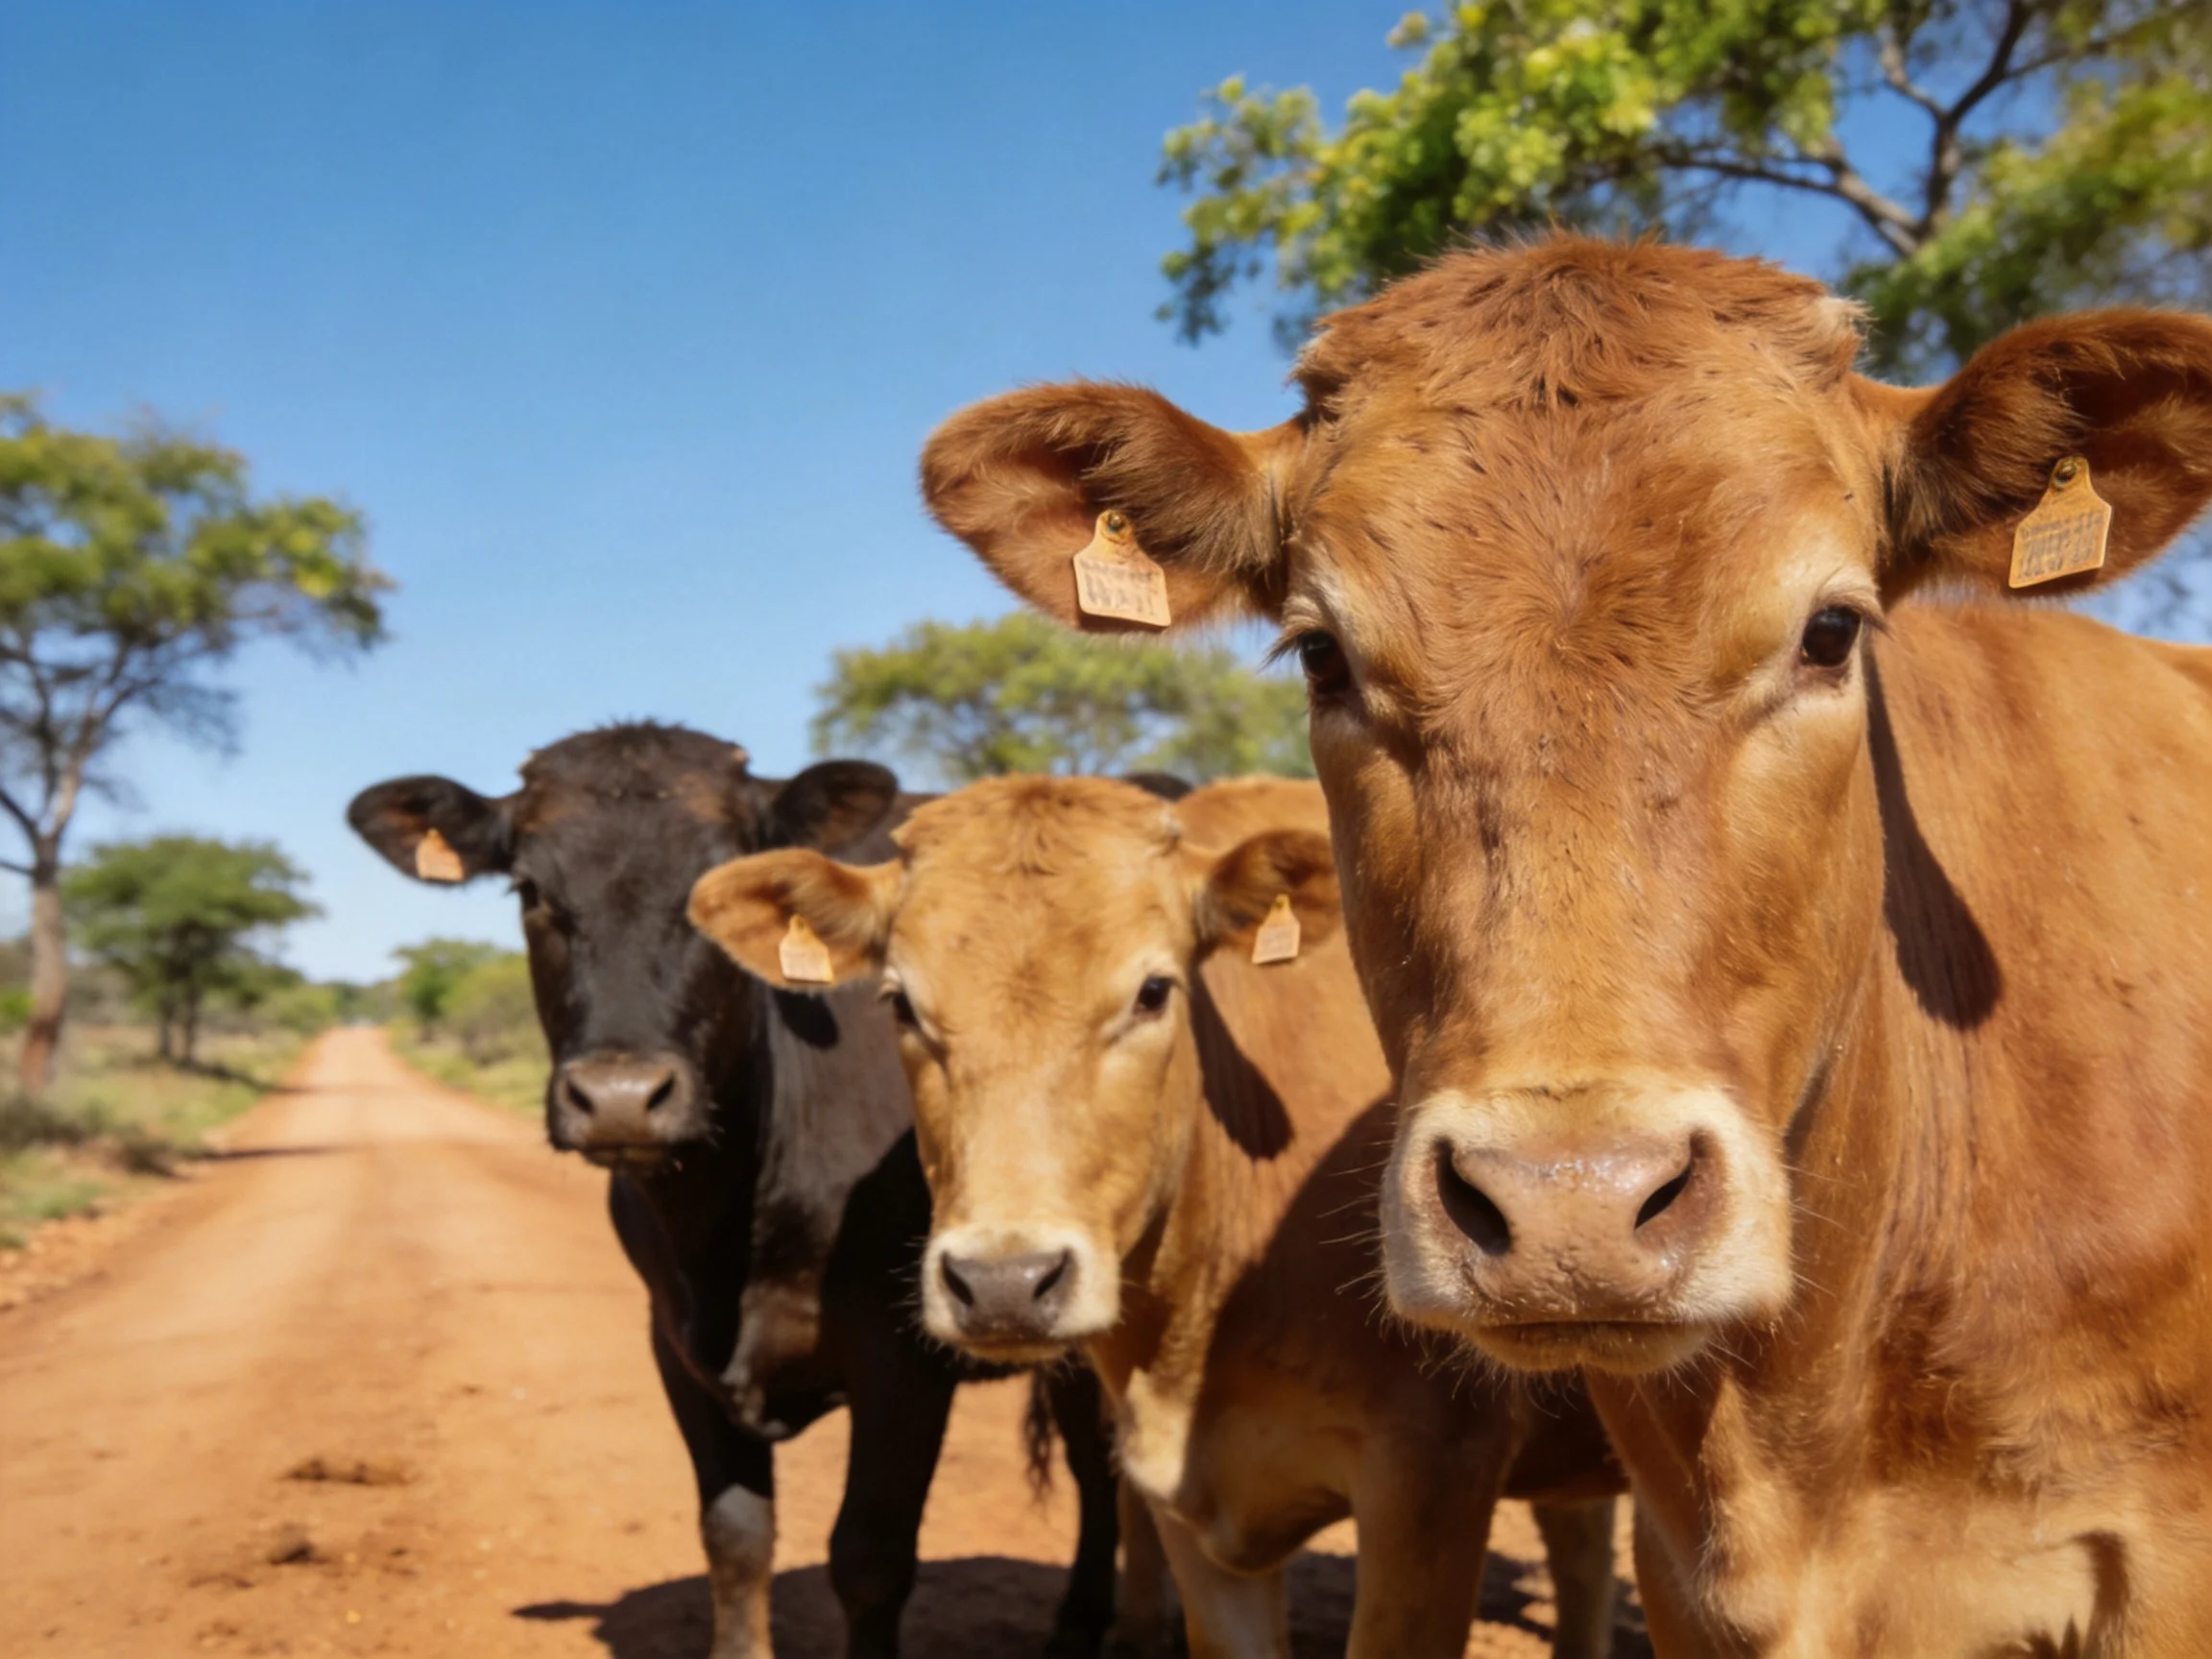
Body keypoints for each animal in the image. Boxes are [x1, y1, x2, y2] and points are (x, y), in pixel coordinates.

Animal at [347, 724, 1130, 1659]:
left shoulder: (905, 1358)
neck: (732, 1231)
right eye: (530, 889)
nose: (621, 1096)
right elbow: (735, 1535)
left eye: (715, 887)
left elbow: (870, 1556)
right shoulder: (676, 1348)